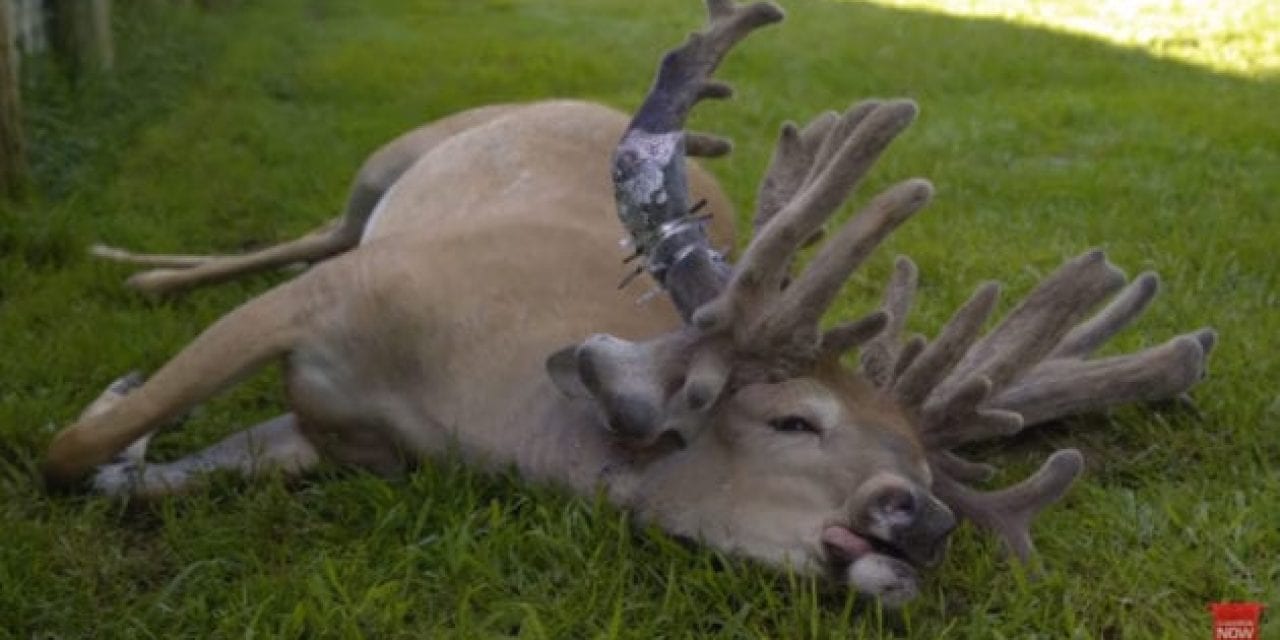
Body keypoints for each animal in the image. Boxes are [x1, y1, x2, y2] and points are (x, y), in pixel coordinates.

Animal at [45, 0, 1213, 606]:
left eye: (929, 474)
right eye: (792, 420)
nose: (918, 518)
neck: (471, 400)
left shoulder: (338, 441)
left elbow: (131, 478)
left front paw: (133, 446)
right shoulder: (346, 294)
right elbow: (67, 451)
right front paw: (115, 395)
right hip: (388, 168)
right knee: (315, 233)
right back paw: (134, 267)